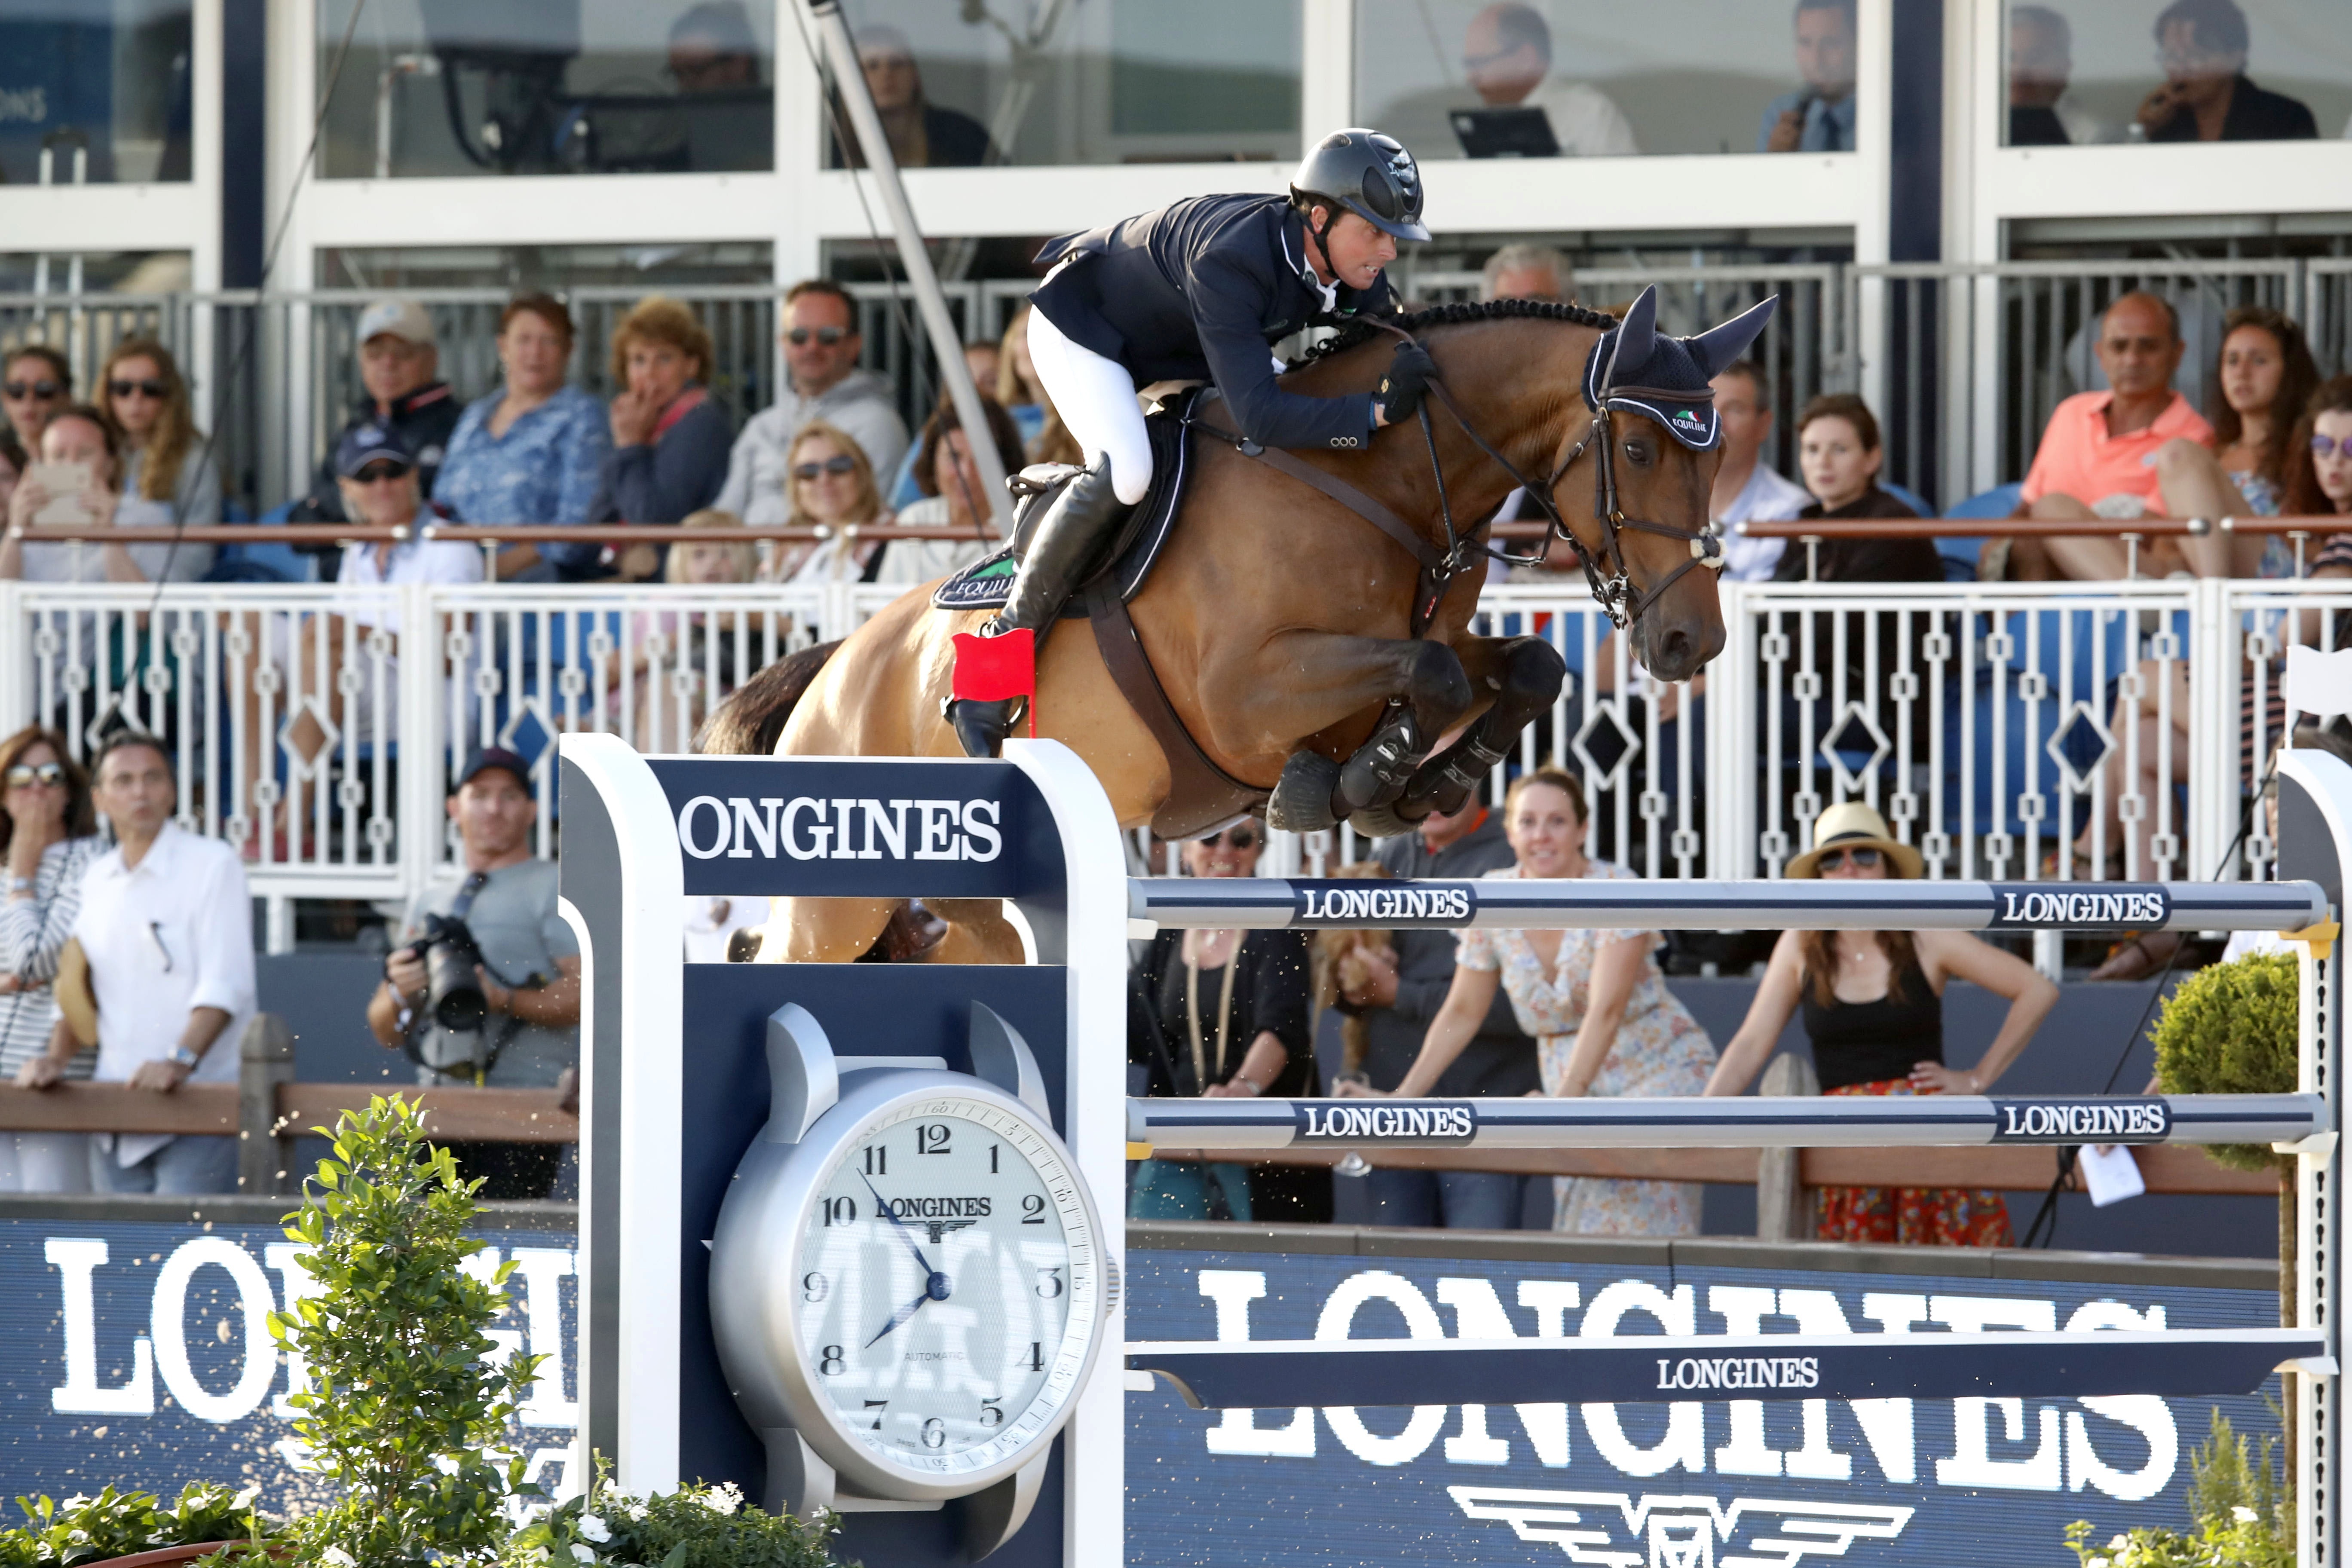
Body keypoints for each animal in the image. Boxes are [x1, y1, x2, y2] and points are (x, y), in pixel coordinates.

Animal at [743, 288, 1768, 964]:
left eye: (1717, 457)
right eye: (1636, 449)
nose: (1694, 642)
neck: (1375, 477)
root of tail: (832, 672)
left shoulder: (1410, 648)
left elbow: (1522, 666)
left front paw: (1421, 787)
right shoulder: (1244, 696)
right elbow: (1429, 676)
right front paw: (1345, 788)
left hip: (985, 914)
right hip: (835, 905)